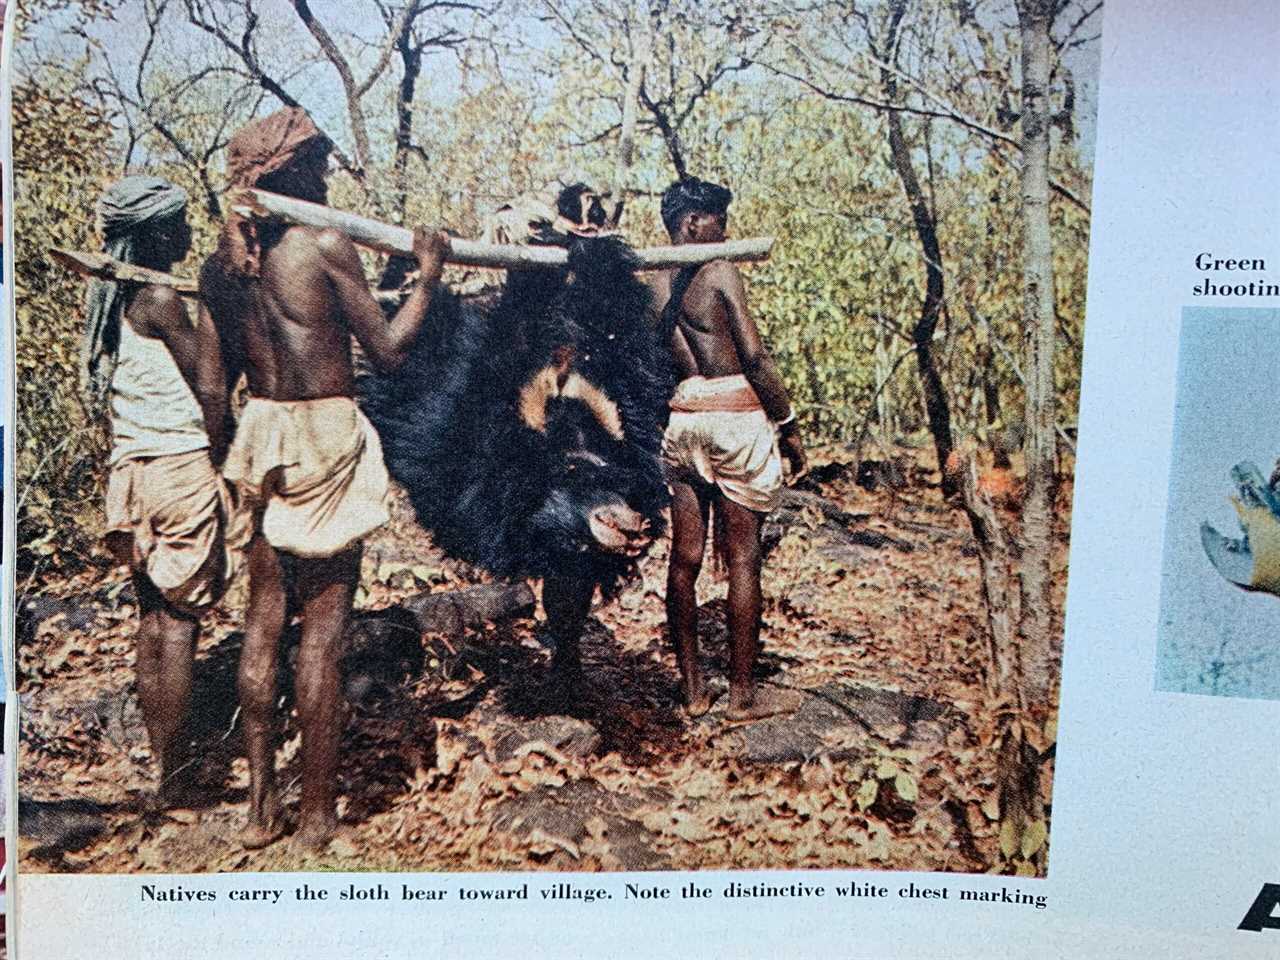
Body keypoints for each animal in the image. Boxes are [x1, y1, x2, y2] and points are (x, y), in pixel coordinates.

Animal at [360, 184, 675, 686]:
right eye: (589, 530)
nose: (636, 530)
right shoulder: (479, 459)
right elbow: (485, 361)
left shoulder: (629, 424)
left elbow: (625, 348)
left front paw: (587, 247)